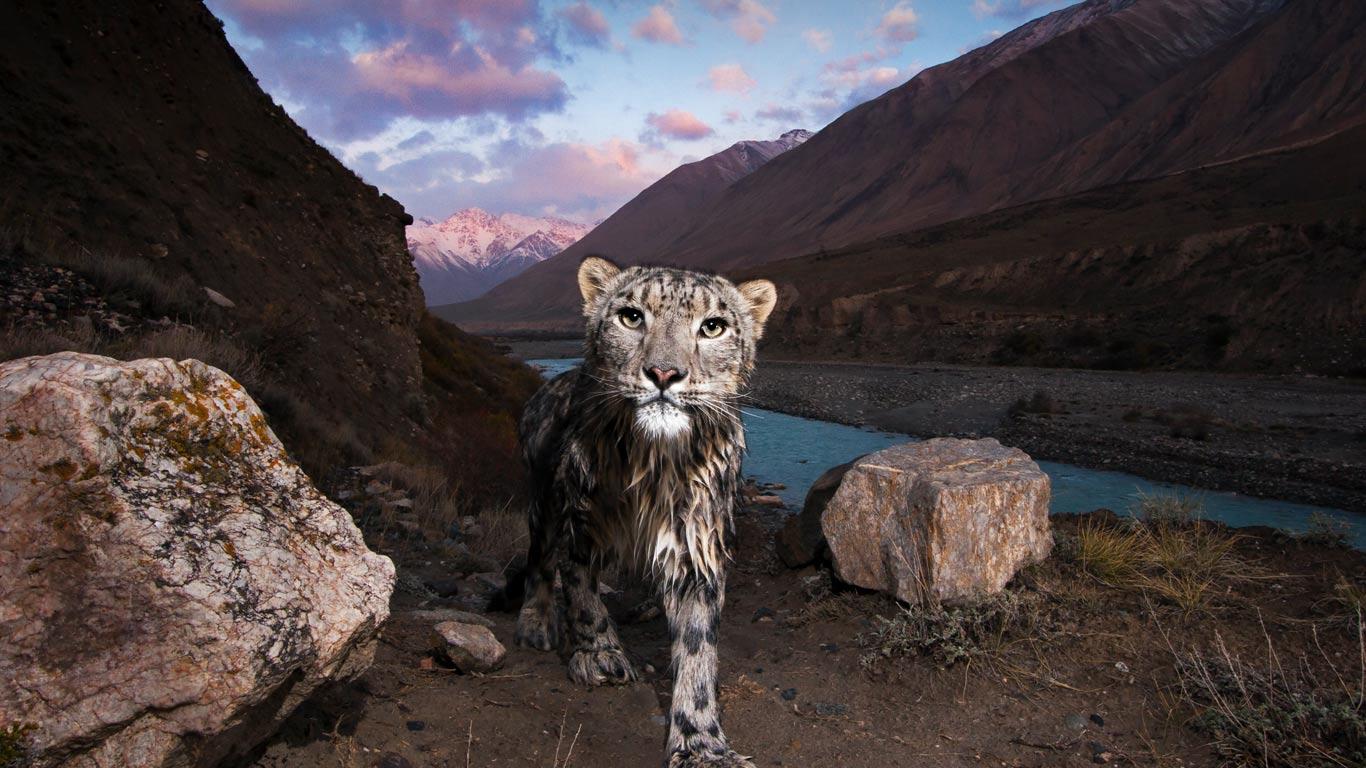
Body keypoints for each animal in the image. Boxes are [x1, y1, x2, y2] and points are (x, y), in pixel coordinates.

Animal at [513, 254, 775, 759]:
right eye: (631, 316)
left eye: (713, 326)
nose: (664, 374)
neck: (654, 466)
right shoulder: (580, 522)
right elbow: (582, 593)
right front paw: (599, 655)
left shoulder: (698, 545)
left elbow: (698, 645)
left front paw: (701, 743)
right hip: (544, 500)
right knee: (539, 559)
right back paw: (535, 622)